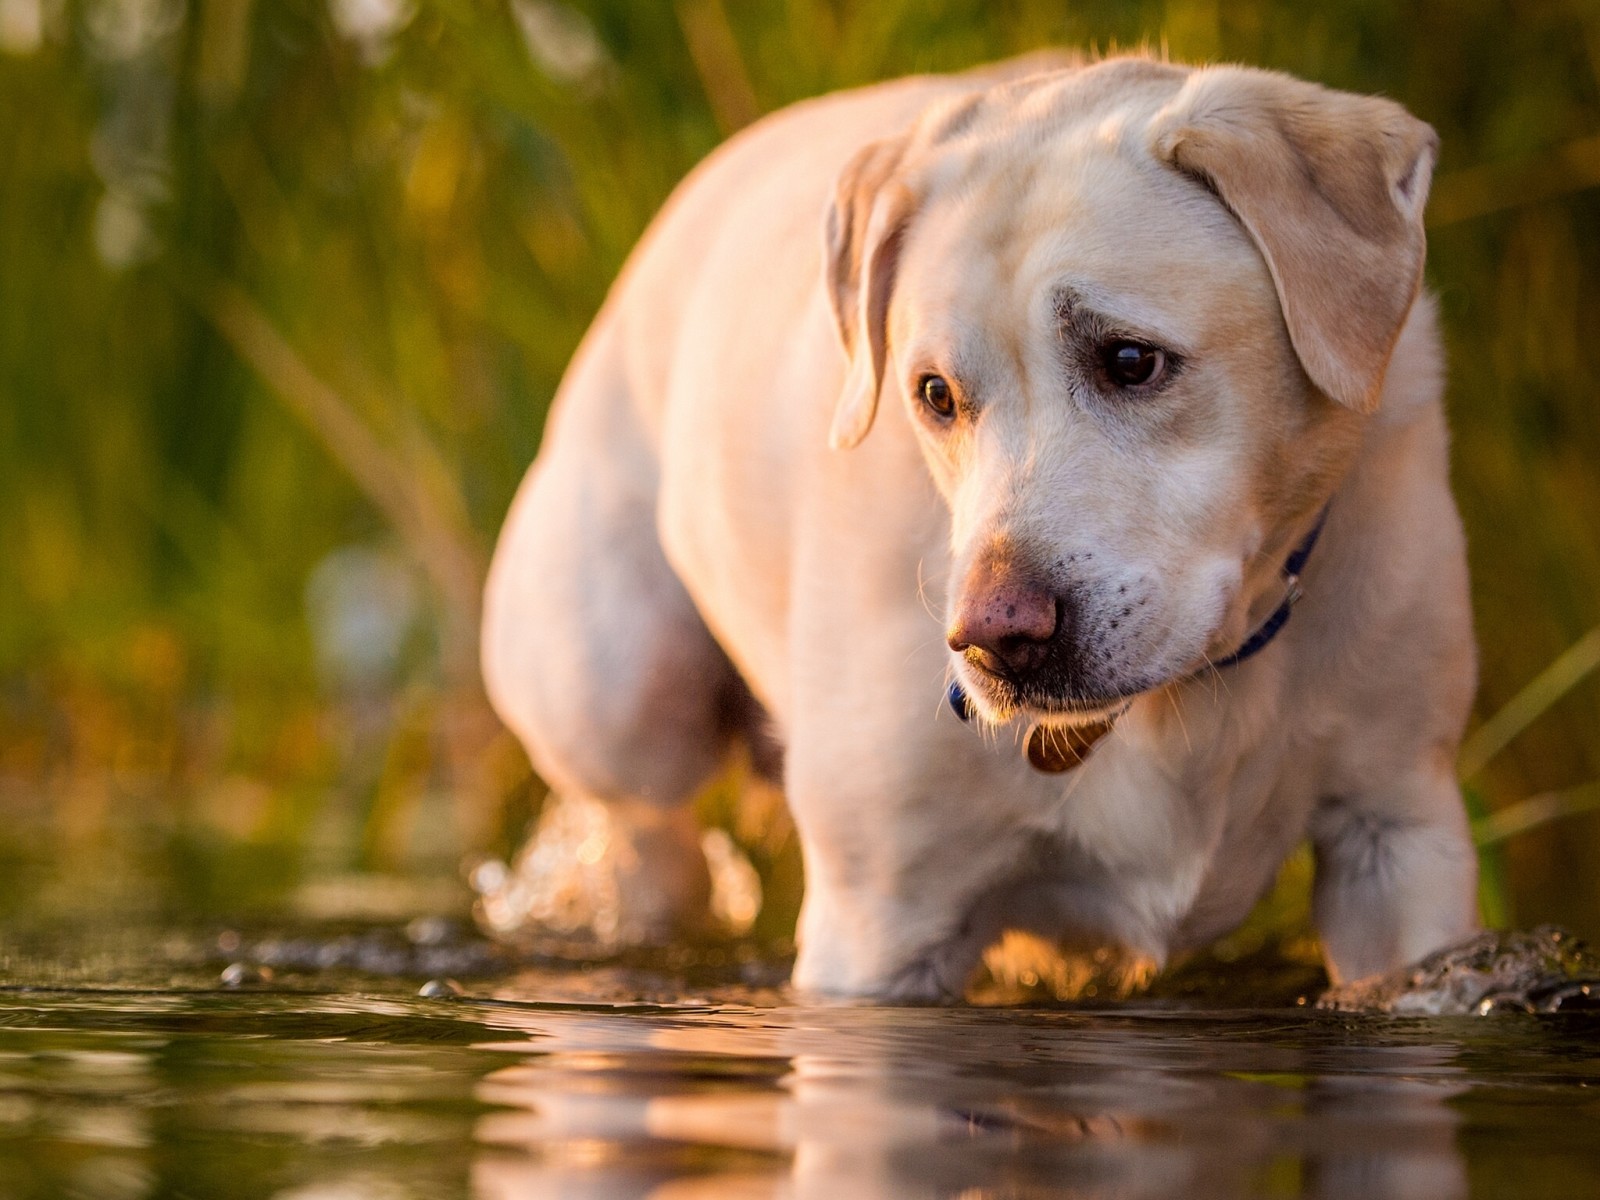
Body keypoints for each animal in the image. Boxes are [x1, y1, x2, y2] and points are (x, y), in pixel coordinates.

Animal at [480, 51, 1478, 998]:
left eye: (1130, 360)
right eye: (934, 395)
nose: (995, 640)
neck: (1187, 692)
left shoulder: (1400, 837)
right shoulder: (879, 925)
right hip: (617, 695)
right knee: (647, 827)